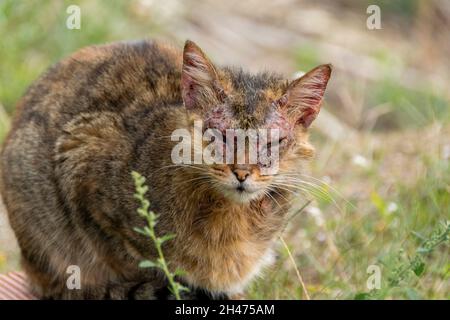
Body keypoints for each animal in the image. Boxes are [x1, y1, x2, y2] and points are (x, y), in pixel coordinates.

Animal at [0, 40, 330, 300]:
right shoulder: (81, 156)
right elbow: (137, 267)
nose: (242, 171)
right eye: (221, 135)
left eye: (272, 142)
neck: (231, 220)